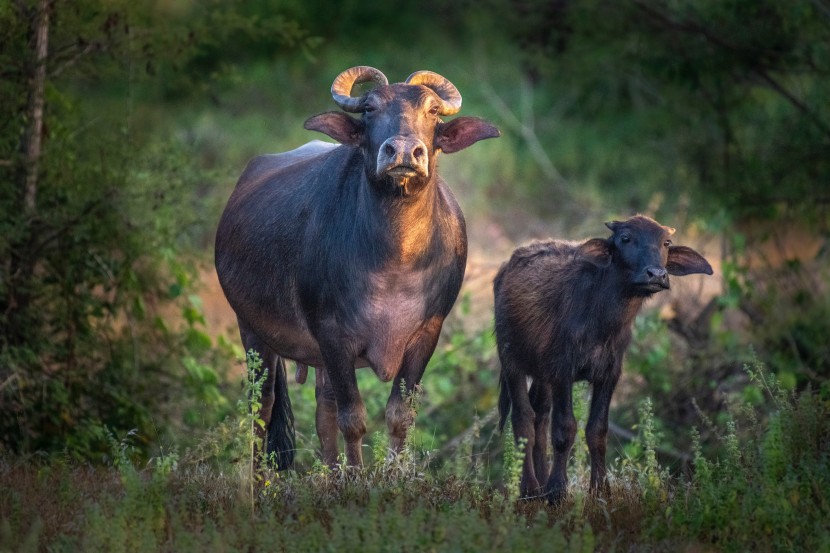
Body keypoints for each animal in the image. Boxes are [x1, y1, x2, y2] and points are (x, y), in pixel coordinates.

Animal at [216, 67, 500, 468]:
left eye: (432, 110)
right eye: (369, 108)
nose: (403, 152)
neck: (396, 258)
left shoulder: (427, 333)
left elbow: (399, 415)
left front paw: (391, 474)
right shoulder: (333, 335)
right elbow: (353, 418)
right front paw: (356, 475)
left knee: (323, 410)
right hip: (252, 330)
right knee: (263, 407)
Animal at [494, 215, 716, 500]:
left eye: (666, 242)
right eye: (625, 238)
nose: (656, 275)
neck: (601, 321)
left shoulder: (609, 375)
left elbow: (597, 431)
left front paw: (600, 489)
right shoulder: (563, 372)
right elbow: (565, 429)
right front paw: (557, 491)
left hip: (542, 374)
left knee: (540, 415)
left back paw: (540, 482)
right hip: (511, 361)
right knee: (523, 419)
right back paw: (530, 488)